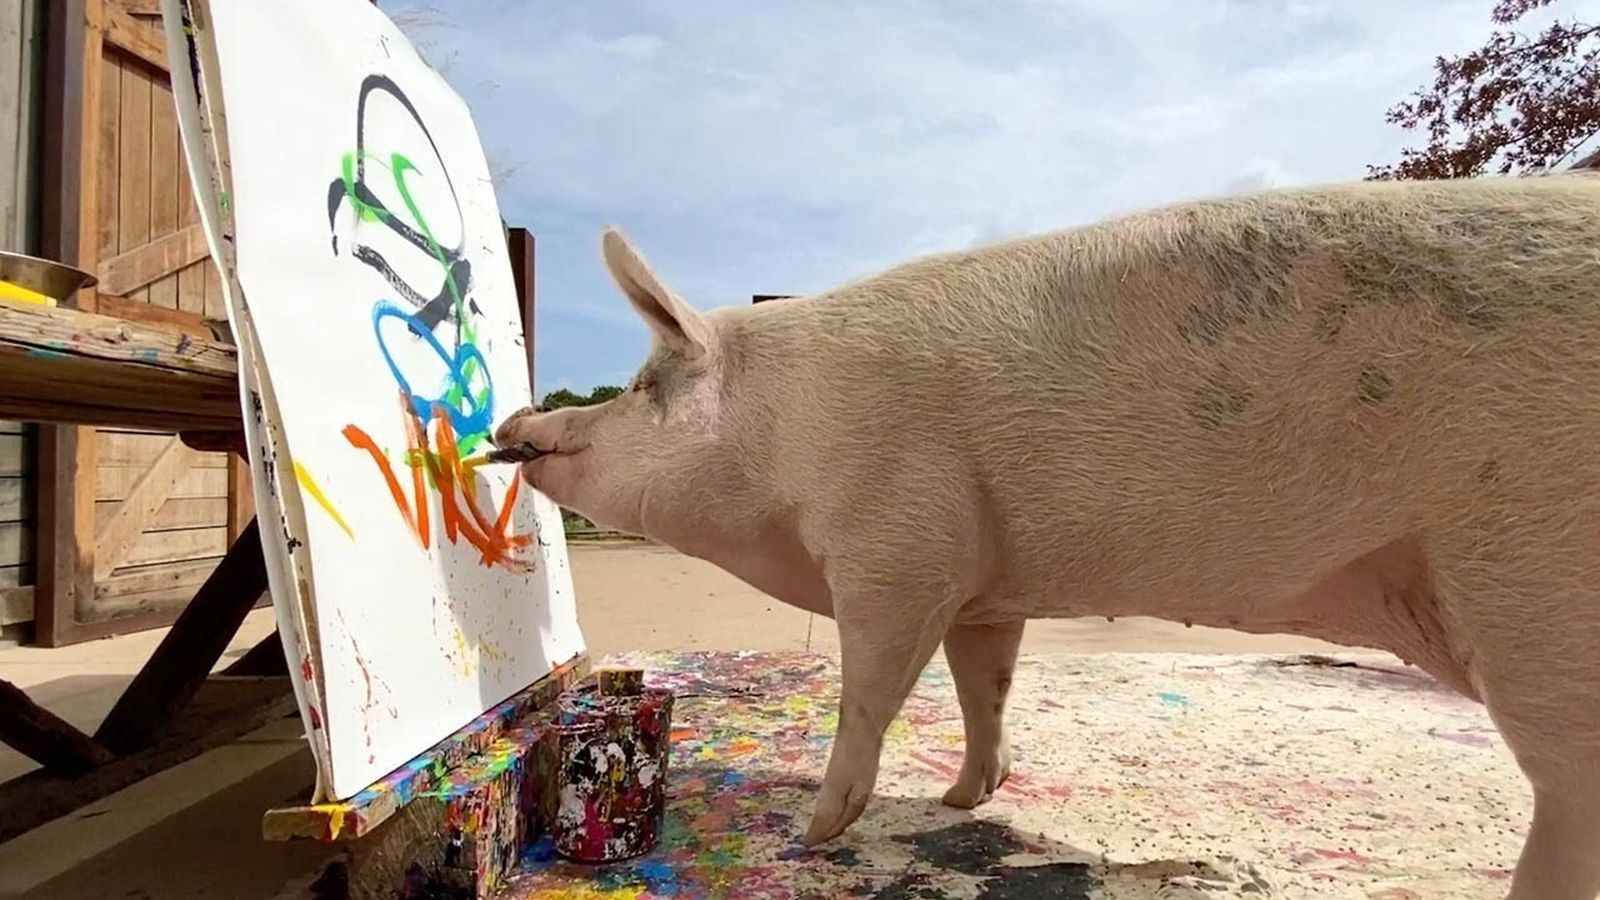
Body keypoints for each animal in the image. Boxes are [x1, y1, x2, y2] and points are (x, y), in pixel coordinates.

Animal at [496, 171, 1600, 900]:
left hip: (1535, 598)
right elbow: (985, 685)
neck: (788, 430)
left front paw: (817, 833)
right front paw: (961, 802)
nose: (516, 426)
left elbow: (869, 691)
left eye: (644, 387)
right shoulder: (984, 580)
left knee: (1564, 796)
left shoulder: (898, 542)